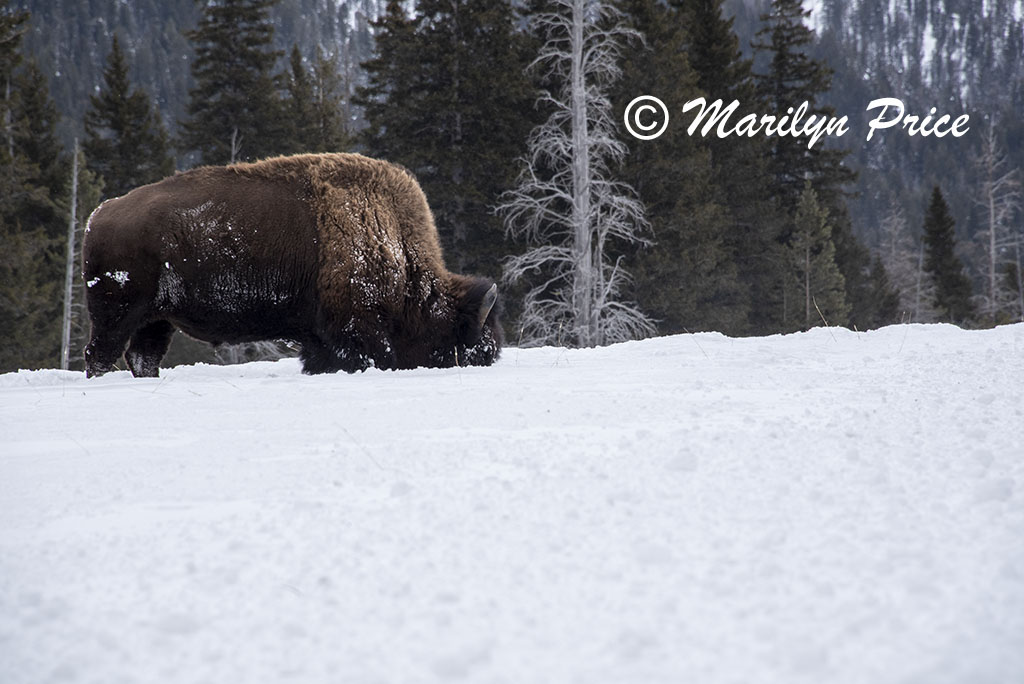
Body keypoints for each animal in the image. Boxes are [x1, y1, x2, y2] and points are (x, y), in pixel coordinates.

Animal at [82, 153, 502, 377]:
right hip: (116, 313)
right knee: (101, 353)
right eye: (465, 338)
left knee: (142, 355)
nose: (485, 360)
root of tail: (99, 214)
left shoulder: (321, 335)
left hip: (157, 319)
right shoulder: (357, 327)